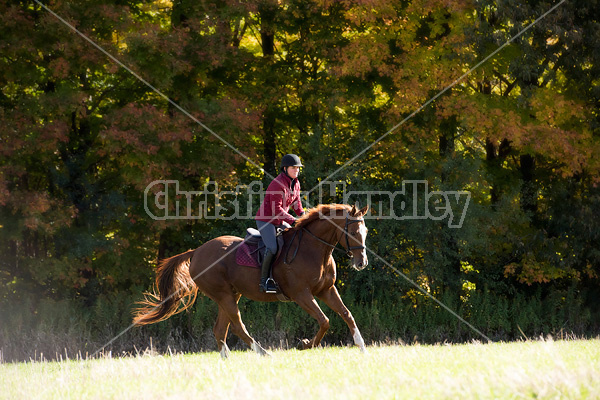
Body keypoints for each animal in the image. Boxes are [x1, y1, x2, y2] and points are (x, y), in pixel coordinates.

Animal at [133, 203, 368, 356]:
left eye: (365, 231)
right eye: (353, 232)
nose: (361, 263)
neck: (314, 250)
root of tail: (197, 251)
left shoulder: (326, 290)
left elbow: (347, 314)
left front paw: (362, 346)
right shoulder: (301, 294)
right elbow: (324, 320)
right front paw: (306, 344)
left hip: (230, 295)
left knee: (220, 330)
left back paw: (227, 360)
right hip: (224, 295)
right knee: (237, 326)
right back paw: (263, 352)